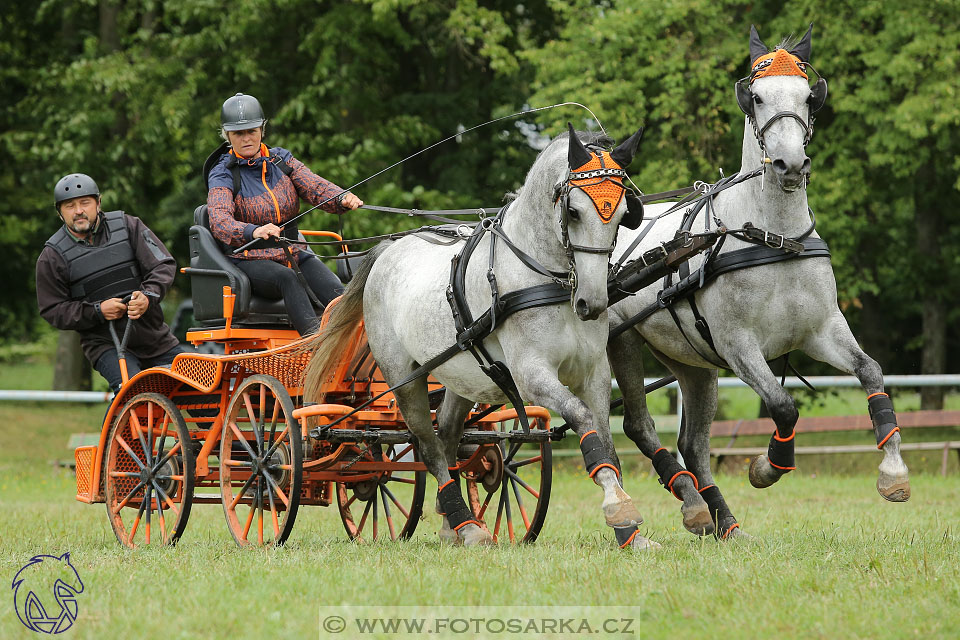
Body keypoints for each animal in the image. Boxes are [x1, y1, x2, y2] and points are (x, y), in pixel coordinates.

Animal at [304, 126, 656, 552]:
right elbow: (582, 419)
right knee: (429, 446)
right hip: (403, 378)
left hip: (462, 374)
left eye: (623, 215)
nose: (593, 302)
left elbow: (605, 441)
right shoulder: (531, 375)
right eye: (573, 211)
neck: (544, 276)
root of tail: (389, 249)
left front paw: (629, 530)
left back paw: (454, 523)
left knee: (448, 436)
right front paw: (619, 509)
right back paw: (465, 524)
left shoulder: (594, 373)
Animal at [608, 25, 908, 540]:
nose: (790, 165)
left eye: (808, 96)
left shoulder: (822, 329)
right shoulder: (739, 345)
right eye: (759, 96)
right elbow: (784, 405)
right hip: (622, 342)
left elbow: (871, 372)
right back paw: (693, 505)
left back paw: (723, 521)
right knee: (639, 427)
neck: (773, 237)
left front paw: (893, 474)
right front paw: (767, 467)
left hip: (691, 362)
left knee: (693, 443)